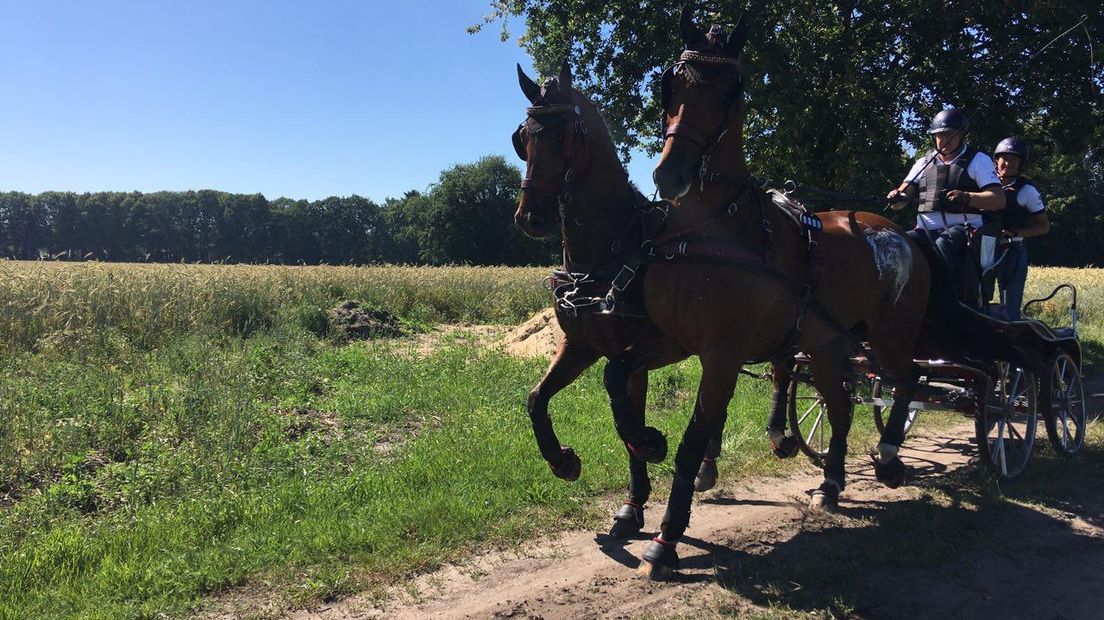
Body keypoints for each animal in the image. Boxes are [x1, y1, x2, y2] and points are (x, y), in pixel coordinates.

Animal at [512, 60, 728, 538]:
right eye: (522, 138)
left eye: (563, 135)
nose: (529, 217)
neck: (609, 252)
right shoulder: (583, 345)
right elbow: (539, 399)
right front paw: (567, 464)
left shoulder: (653, 348)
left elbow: (623, 410)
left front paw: (651, 442)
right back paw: (706, 467)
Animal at [604, 8, 931, 573]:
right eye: (672, 84)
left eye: (730, 91)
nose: (671, 174)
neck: (710, 229)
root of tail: (898, 231)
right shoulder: (671, 340)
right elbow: (616, 375)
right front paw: (644, 443)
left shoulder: (721, 352)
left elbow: (694, 438)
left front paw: (668, 535)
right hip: (826, 344)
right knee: (840, 404)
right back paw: (831, 482)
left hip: (890, 336)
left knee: (906, 379)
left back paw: (889, 458)